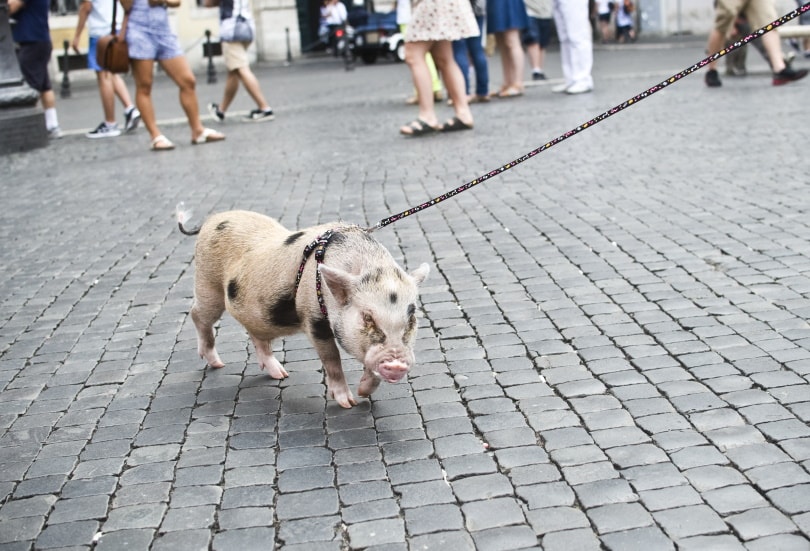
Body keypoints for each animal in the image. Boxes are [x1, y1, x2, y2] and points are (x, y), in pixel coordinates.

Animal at [177, 209, 430, 408]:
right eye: (367, 317)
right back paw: (217, 363)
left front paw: (362, 394)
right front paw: (348, 403)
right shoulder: (314, 319)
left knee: (256, 336)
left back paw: (281, 375)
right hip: (208, 285)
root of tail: (211, 219)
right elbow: (332, 360)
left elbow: (371, 367)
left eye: (411, 317)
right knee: (197, 315)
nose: (396, 363)